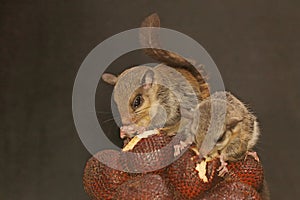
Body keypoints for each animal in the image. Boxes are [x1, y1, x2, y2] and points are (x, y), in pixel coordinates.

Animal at [101, 13, 260, 175]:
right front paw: (124, 132)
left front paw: (139, 129)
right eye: (115, 103)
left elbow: (162, 120)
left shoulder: (169, 102)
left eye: (137, 101)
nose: (125, 122)